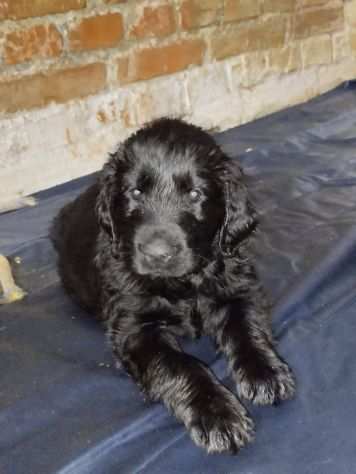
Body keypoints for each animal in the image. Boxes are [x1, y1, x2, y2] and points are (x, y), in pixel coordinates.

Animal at [50, 116, 294, 454]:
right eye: (135, 192)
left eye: (195, 194)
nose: (156, 254)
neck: (182, 284)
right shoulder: (135, 329)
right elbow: (180, 364)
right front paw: (217, 414)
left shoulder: (237, 288)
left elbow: (246, 328)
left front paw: (265, 372)